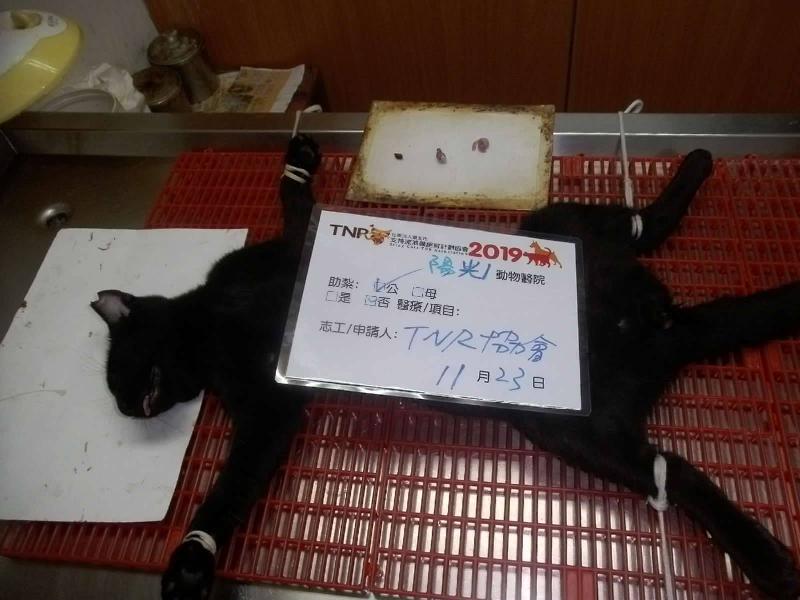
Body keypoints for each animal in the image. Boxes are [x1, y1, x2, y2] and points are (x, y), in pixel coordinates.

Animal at [91, 137, 800, 600]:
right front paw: (193, 559)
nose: (129, 409)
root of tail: (659, 327)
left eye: (123, 375)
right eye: (122, 394)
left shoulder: (280, 279)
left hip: (556, 251)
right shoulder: (271, 408)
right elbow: (237, 481)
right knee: (676, 471)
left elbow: (296, 204)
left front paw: (190, 560)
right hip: (584, 427)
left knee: (642, 224)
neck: (211, 325)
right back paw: (770, 560)